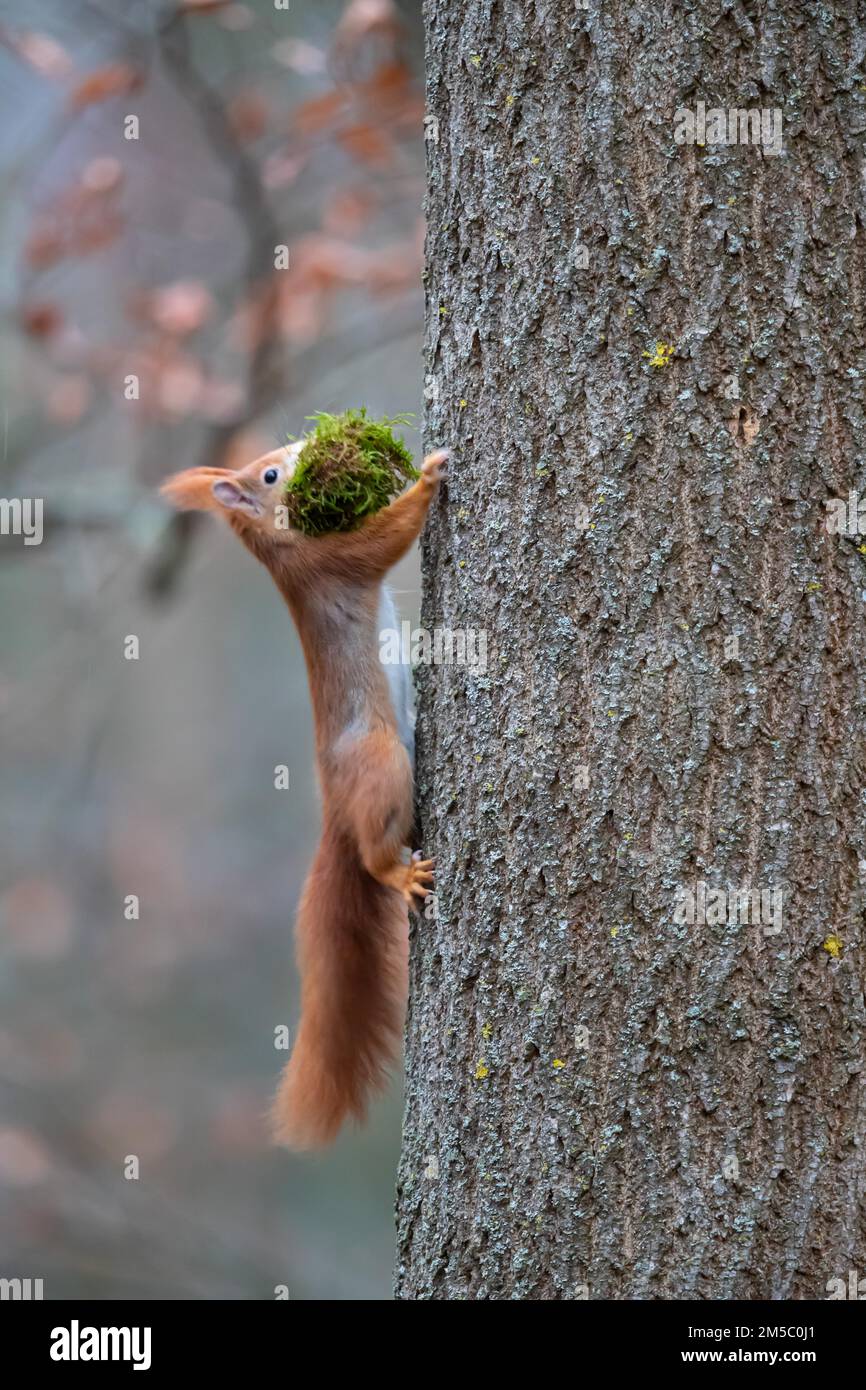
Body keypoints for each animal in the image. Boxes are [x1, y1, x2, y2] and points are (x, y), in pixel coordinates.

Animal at [160, 440, 449, 1148]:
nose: (296, 448)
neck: (278, 545)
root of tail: (336, 814)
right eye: (269, 474)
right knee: (375, 856)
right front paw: (428, 475)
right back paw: (399, 874)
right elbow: (385, 538)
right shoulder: (329, 562)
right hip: (382, 764)